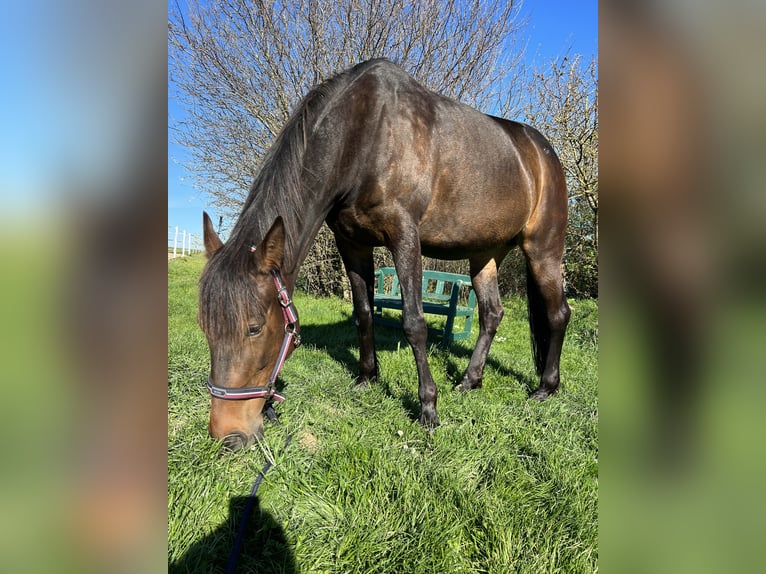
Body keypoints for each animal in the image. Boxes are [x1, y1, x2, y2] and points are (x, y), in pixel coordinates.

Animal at [198, 59, 568, 454]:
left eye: (253, 328)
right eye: (205, 327)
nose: (227, 435)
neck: (364, 134)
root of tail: (543, 153)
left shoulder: (404, 236)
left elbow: (414, 323)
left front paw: (428, 408)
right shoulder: (352, 243)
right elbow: (363, 314)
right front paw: (367, 377)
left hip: (543, 250)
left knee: (559, 314)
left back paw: (545, 388)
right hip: (484, 255)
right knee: (491, 314)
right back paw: (470, 380)